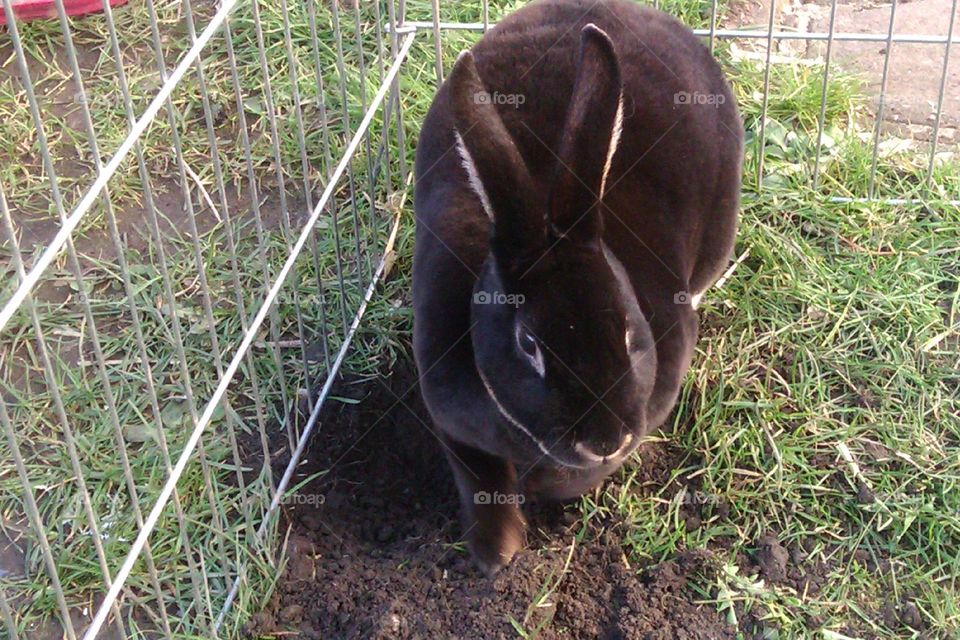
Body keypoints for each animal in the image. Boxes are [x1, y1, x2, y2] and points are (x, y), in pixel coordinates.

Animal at [412, 0, 744, 576]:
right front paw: (497, 554)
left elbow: (568, 481)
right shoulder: (449, 415)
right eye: (528, 344)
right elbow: (478, 481)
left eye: (630, 333)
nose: (604, 440)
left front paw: (541, 495)